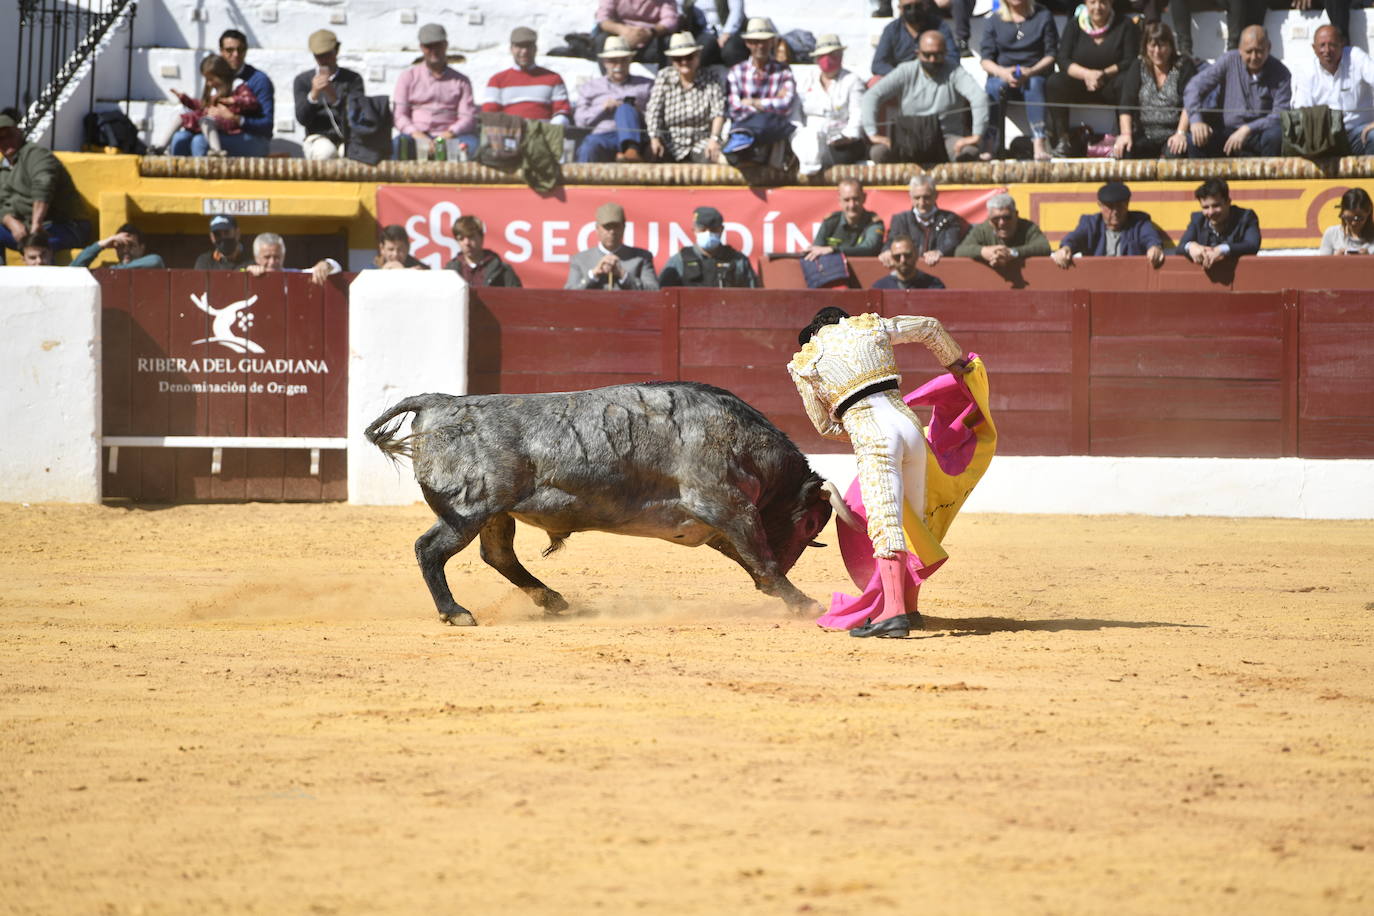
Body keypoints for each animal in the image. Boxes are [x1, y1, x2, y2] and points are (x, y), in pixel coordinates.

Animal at [365, 384, 829, 626]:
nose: (792, 561)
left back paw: (552, 600)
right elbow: (760, 556)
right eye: (809, 525)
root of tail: (439, 401)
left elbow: (750, 557)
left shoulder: (715, 524)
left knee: (497, 554)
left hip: (494, 513)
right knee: (430, 550)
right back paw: (456, 612)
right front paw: (802, 601)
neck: (744, 442)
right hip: (468, 509)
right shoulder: (727, 505)